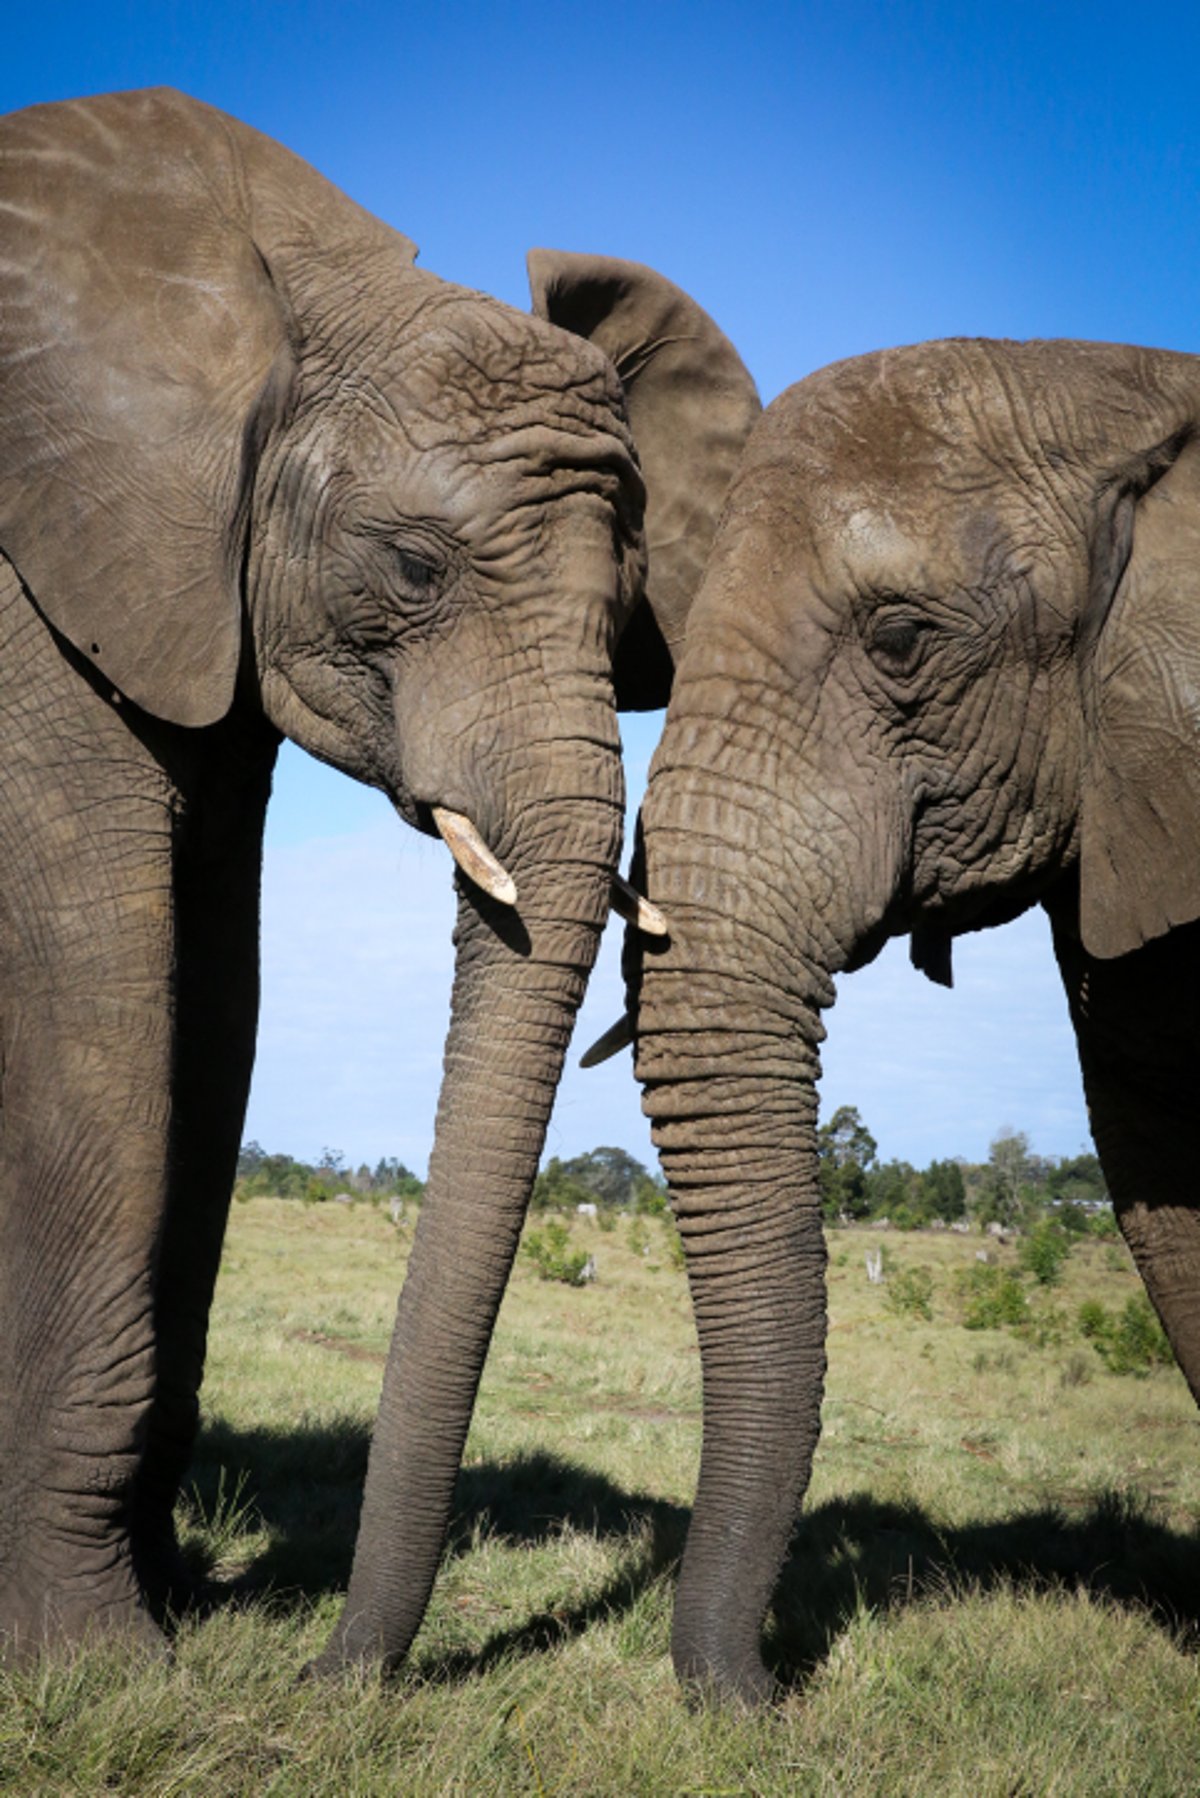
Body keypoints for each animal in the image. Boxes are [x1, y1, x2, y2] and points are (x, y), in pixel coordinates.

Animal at [0, 80, 759, 1654]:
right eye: (412, 570)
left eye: (625, 614)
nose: (336, 1668)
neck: (293, 292)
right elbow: (101, 983)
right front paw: (94, 1656)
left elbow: (217, 995)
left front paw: (160, 1605)